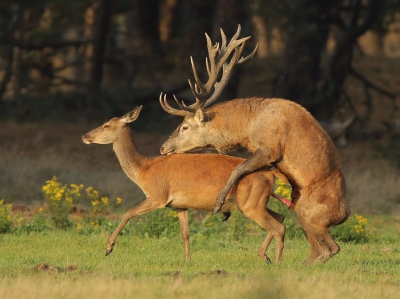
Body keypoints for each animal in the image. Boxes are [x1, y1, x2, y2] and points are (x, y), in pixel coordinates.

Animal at [81, 106, 290, 264]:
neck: (143, 170)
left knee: (278, 227)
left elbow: (128, 212)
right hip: (256, 202)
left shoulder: (158, 195)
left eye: (106, 125)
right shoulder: (179, 205)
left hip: (251, 204)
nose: (85, 136)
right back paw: (264, 257)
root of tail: (270, 173)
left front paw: (108, 247)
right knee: (280, 217)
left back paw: (277, 263)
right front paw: (188, 260)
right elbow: (185, 233)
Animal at [159, 25, 350, 264]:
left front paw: (219, 205)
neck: (249, 128)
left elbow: (239, 168)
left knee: (331, 248)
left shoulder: (270, 148)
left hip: (310, 215)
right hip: (305, 218)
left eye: (184, 126)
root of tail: (344, 216)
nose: (163, 147)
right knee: (318, 248)